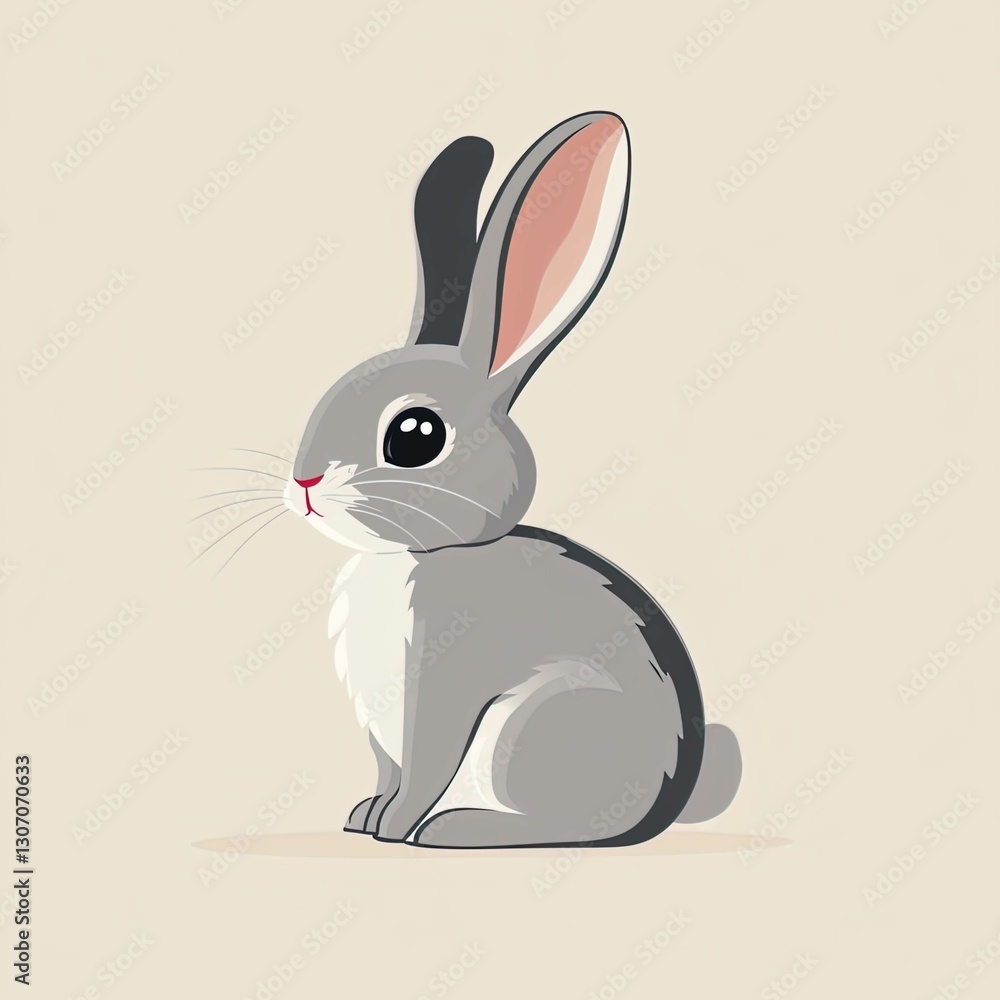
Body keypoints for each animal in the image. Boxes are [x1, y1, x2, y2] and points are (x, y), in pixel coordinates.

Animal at [283, 111, 742, 848]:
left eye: (415, 436)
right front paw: (364, 819)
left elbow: (424, 765)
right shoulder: (384, 737)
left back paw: (454, 829)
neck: (424, 554)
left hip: (532, 729)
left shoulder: (440, 685)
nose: (304, 484)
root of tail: (667, 803)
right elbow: (388, 774)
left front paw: (395, 830)